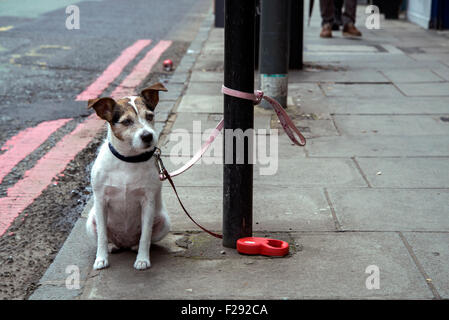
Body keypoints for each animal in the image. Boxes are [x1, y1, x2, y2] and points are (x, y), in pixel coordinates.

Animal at [85, 82, 170, 270]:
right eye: (126, 121)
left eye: (150, 116)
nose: (148, 136)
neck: (128, 159)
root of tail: (124, 242)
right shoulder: (101, 201)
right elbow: (102, 236)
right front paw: (101, 258)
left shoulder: (147, 202)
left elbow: (145, 235)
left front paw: (142, 259)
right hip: (90, 221)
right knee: (105, 237)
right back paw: (111, 246)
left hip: (164, 221)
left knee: (144, 238)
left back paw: (135, 247)